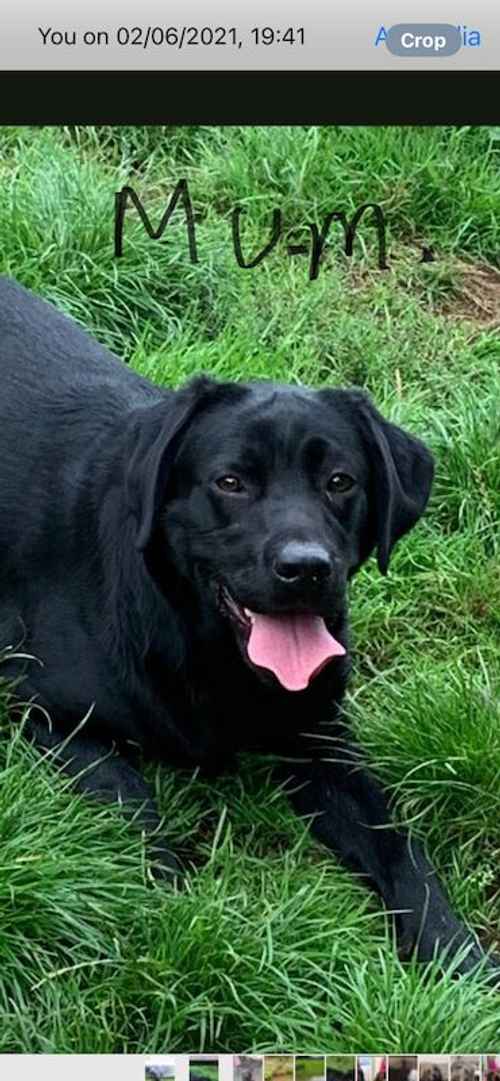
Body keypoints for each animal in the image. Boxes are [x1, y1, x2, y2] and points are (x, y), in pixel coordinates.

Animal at [0, 276, 494, 981]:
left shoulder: (322, 736)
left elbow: (397, 845)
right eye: (230, 482)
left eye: (340, 481)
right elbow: (135, 808)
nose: (306, 568)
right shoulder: (43, 708)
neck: (200, 643)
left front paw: (457, 957)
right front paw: (176, 905)